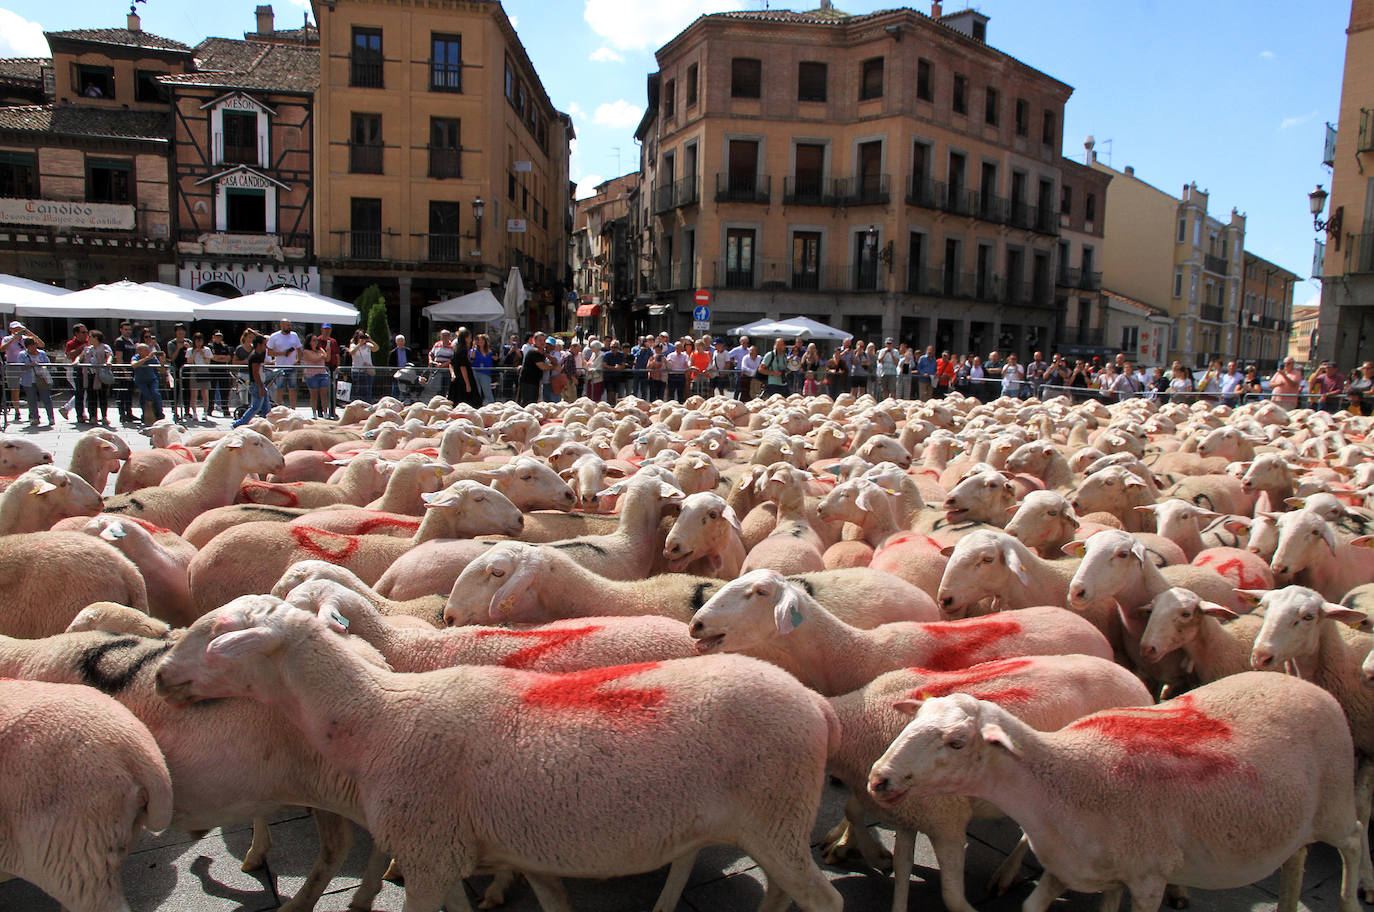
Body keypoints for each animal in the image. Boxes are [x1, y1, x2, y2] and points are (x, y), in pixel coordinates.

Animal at [154, 596, 845, 912]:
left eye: (221, 636)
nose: (161, 676)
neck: (379, 719)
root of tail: (817, 705)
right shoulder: (468, 850)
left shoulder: (427, 850)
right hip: (768, 824)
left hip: (777, 813)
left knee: (825, 901)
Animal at [825, 656, 1152, 912]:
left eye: (957, 743)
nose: (878, 777)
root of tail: (1136, 681)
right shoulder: (909, 814)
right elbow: (902, 870)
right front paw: (879, 860)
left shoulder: (946, 821)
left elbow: (952, 896)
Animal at [867, 674, 1367, 912]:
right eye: (913, 721)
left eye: (956, 742)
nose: (879, 778)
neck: (1063, 779)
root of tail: (1303, 683)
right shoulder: (1074, 868)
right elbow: (1033, 904)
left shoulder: (1147, 878)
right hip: (1296, 815)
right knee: (1298, 856)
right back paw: (1287, 904)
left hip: (1336, 803)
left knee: (1355, 837)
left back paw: (1350, 899)